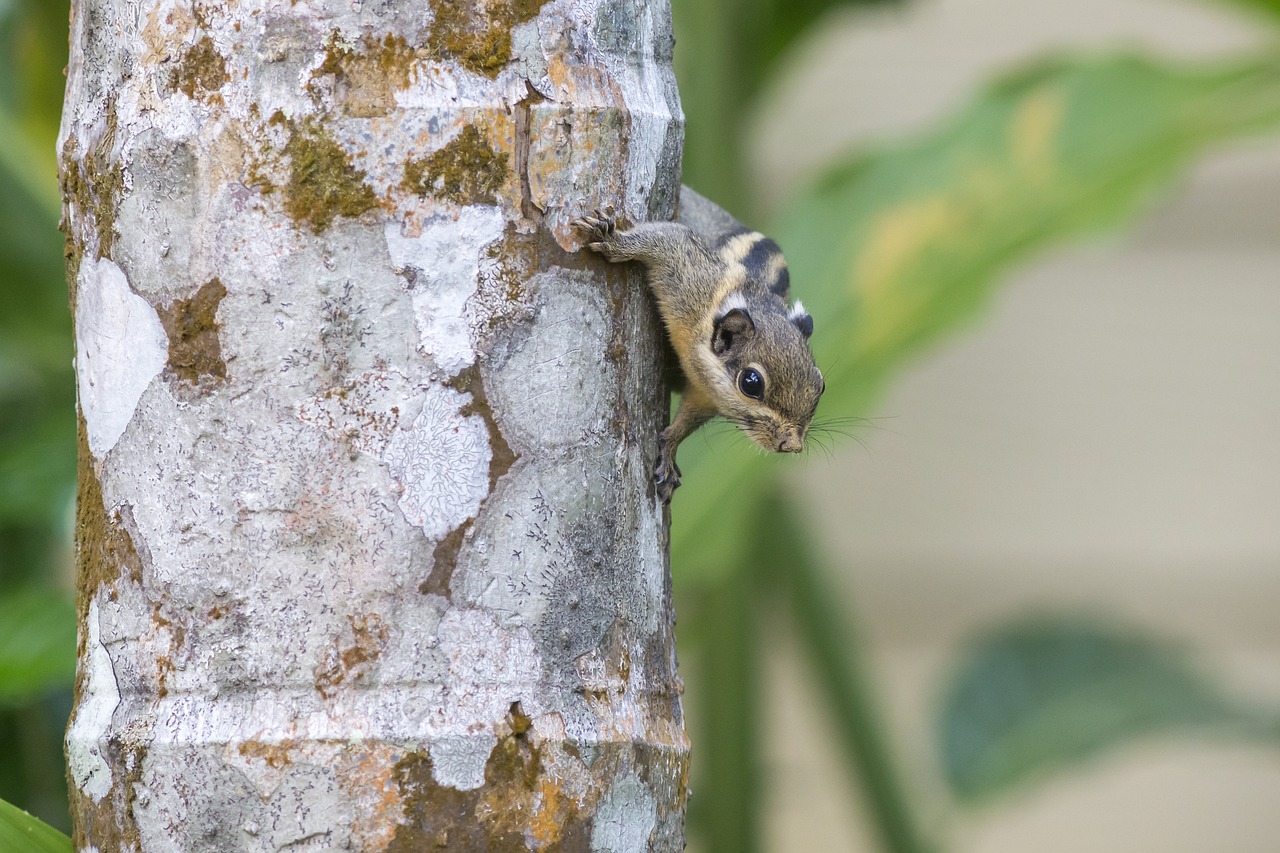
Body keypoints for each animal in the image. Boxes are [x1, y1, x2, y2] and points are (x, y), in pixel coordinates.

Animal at [576, 185, 824, 502]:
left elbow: (686, 421)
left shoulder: (705, 396)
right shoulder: (689, 269)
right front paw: (612, 240)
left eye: (821, 385)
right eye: (751, 382)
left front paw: (670, 451)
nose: (791, 445)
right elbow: (665, 238)